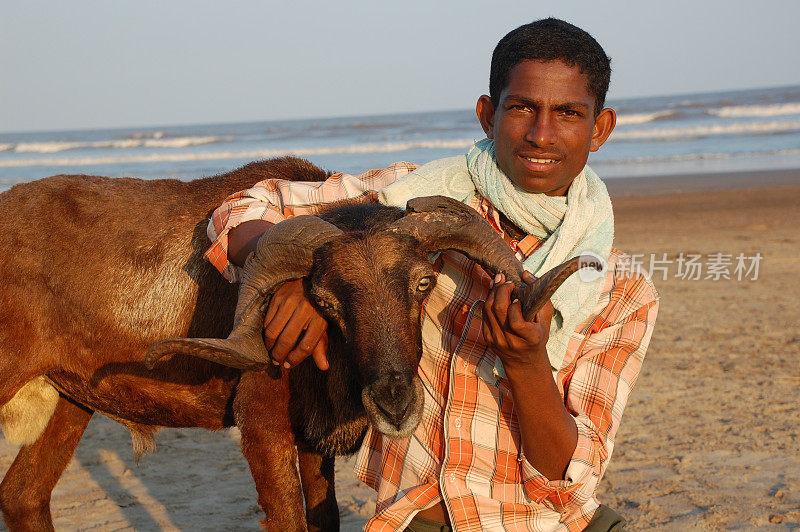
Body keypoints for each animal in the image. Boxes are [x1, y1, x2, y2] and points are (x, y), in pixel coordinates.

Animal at [0, 156, 592, 528]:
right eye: (325, 301)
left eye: (424, 282)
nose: (394, 402)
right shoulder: (264, 429)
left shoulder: (313, 441)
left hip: (70, 403)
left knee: (23, 496)